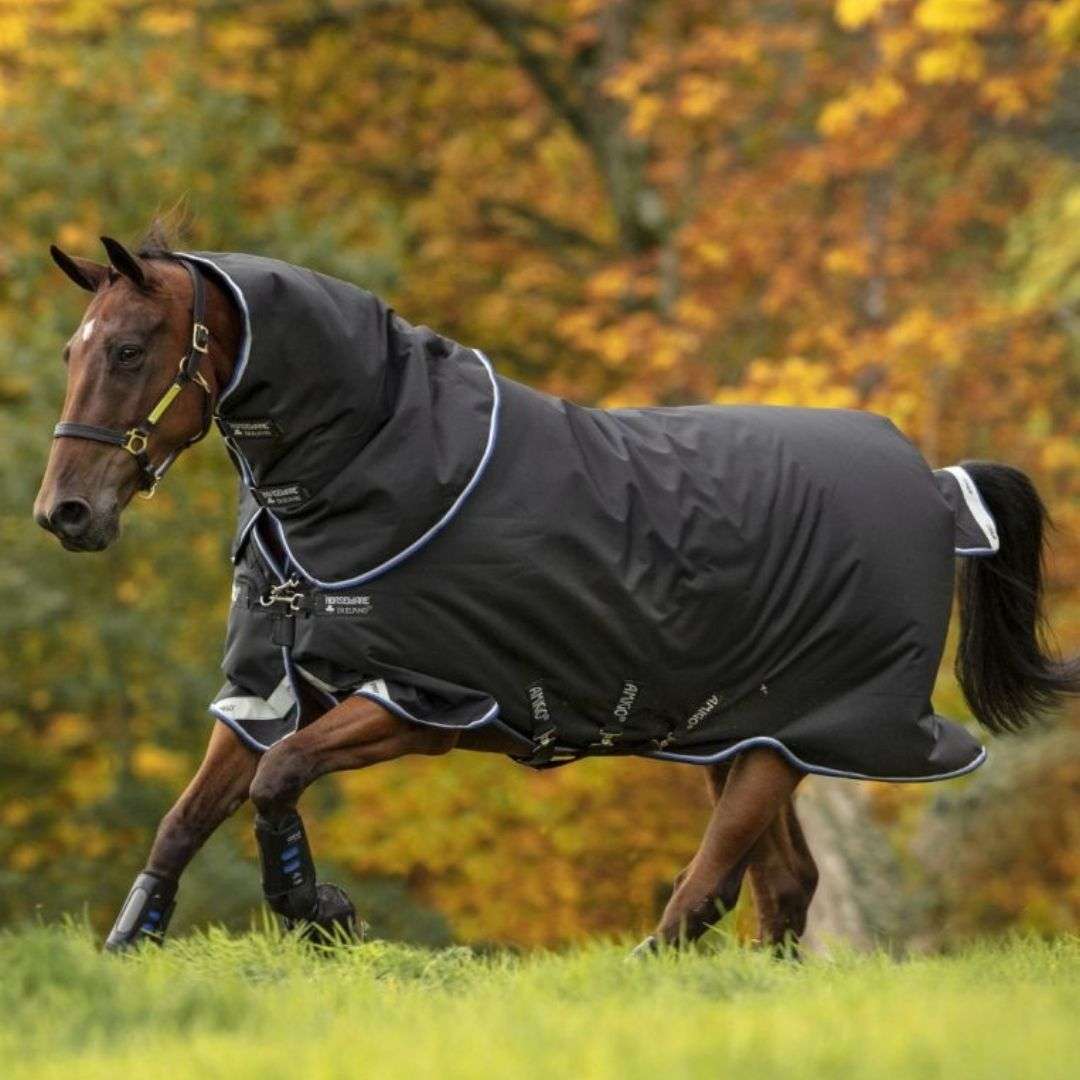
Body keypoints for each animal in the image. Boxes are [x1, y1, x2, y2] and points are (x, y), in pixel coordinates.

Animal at [34, 234, 1079, 953]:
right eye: (71, 353)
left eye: (129, 349)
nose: (66, 512)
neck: (370, 466)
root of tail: (937, 486)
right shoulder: (270, 687)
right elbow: (189, 814)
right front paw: (133, 939)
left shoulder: (425, 702)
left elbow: (277, 778)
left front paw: (317, 910)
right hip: (743, 733)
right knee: (784, 886)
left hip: (806, 730)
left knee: (709, 889)